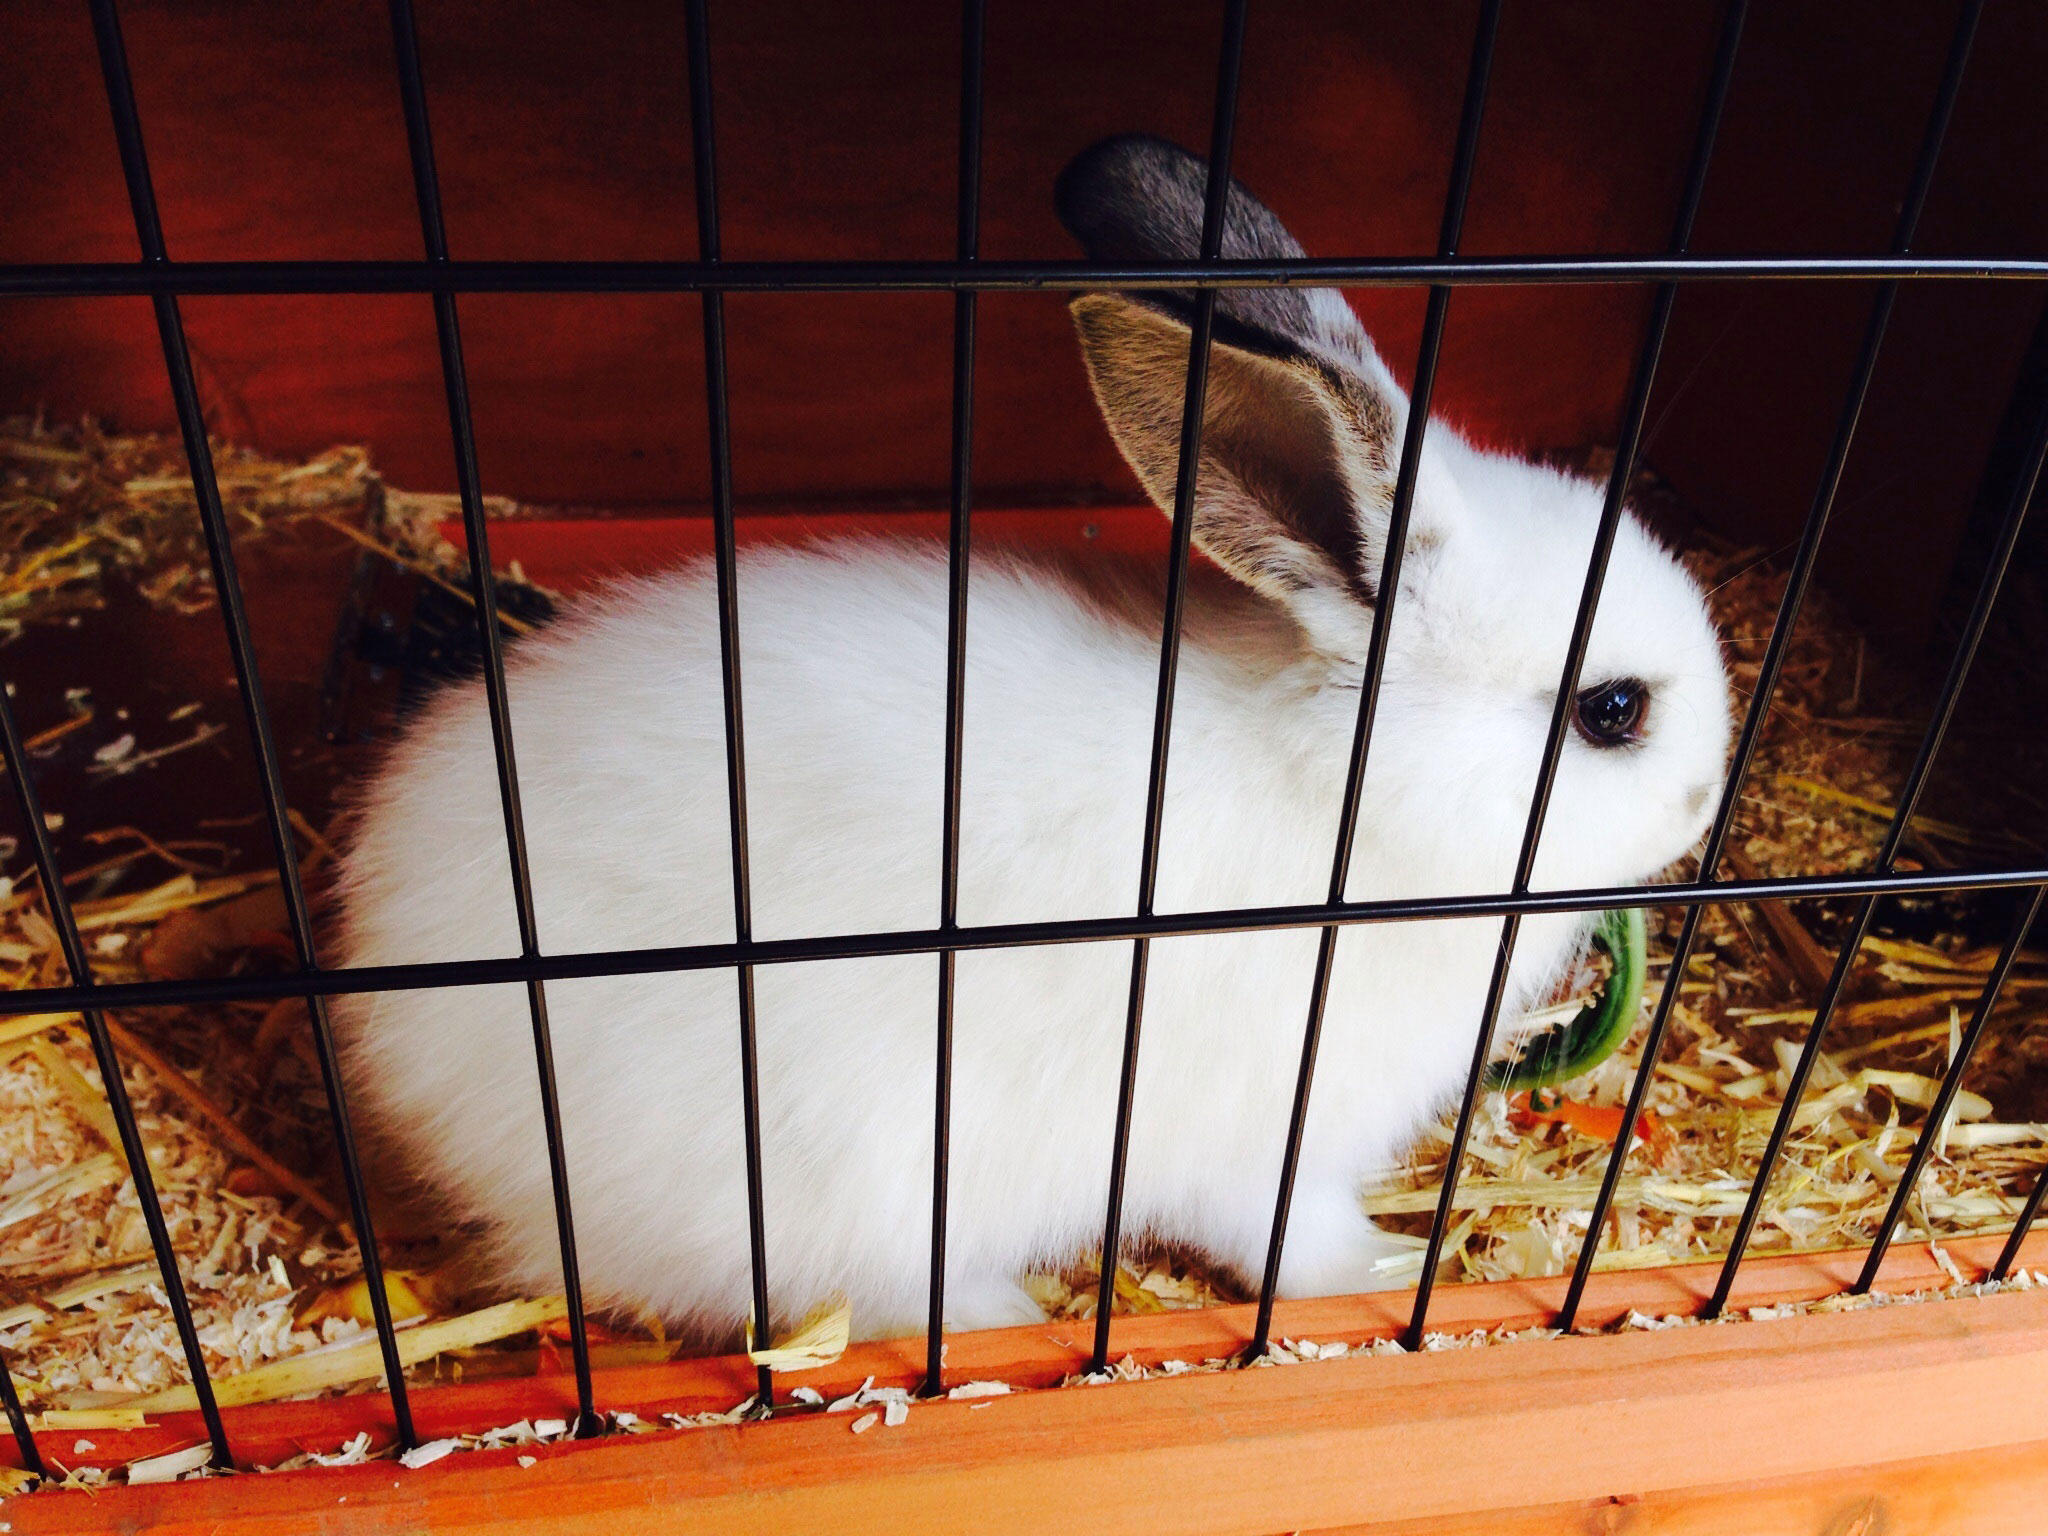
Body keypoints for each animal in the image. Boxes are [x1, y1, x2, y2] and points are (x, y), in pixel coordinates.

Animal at [332, 134, 1731, 1344]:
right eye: (1611, 712)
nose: (1706, 796)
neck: (1352, 802)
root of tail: (393, 1025)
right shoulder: (1258, 1130)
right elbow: (1283, 1234)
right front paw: (1386, 1270)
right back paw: (1004, 1318)